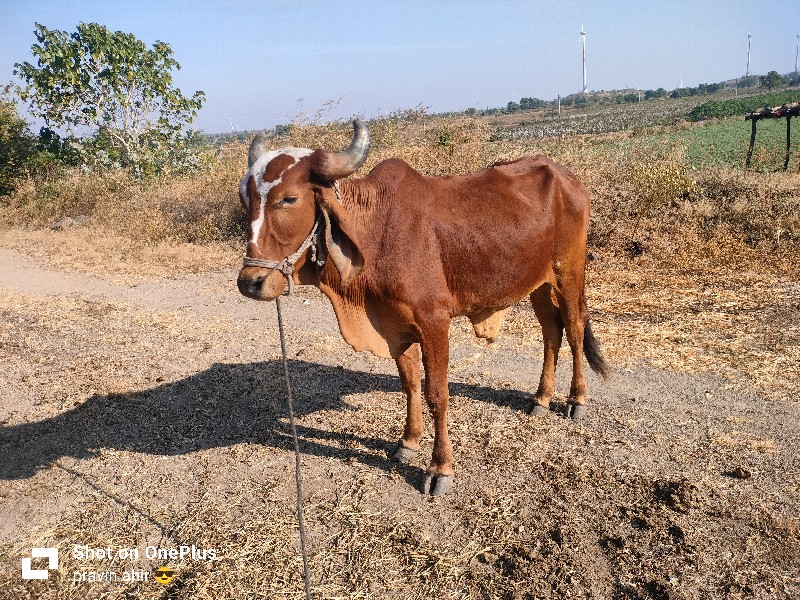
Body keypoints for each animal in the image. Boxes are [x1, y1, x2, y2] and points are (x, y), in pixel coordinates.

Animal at [238, 118, 608, 496]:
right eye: (245, 199)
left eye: (289, 199)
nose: (250, 282)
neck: (376, 231)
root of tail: (567, 177)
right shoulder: (395, 326)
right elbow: (409, 384)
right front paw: (409, 441)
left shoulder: (434, 323)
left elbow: (437, 394)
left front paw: (440, 468)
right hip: (538, 283)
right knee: (551, 330)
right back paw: (541, 399)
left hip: (569, 272)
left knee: (574, 327)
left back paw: (576, 400)